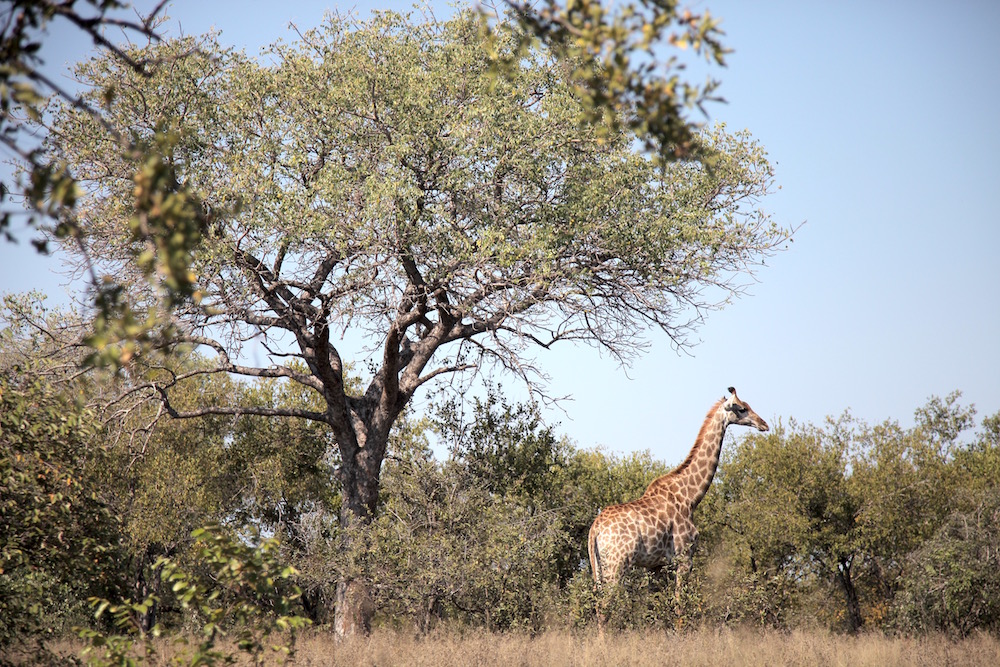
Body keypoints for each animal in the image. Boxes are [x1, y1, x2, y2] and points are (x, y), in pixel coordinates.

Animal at [588, 388, 768, 620]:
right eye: (742, 408)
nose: (764, 424)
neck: (690, 497)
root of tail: (595, 529)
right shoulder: (685, 558)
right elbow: (680, 606)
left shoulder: (655, 565)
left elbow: (655, 608)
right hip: (617, 564)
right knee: (603, 607)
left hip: (600, 566)